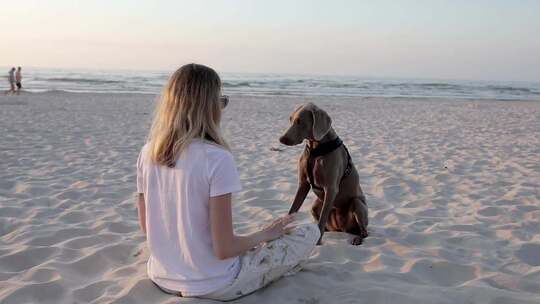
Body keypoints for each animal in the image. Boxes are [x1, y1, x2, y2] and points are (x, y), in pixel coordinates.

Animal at [280, 103, 370, 246]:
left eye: (300, 121)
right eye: (290, 119)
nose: (281, 139)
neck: (315, 149)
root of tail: (341, 228)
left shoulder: (331, 189)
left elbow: (322, 221)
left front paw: (317, 241)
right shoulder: (303, 185)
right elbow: (292, 210)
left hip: (358, 204)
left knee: (364, 231)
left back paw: (357, 238)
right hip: (316, 206)